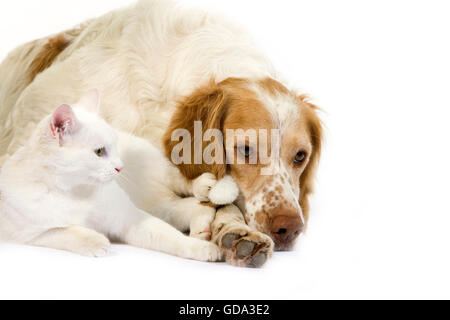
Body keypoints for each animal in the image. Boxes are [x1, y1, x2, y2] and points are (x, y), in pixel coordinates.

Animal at [0, 89, 223, 262]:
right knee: (190, 207)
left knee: (181, 182)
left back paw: (203, 189)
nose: (120, 167)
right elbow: (67, 232)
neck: (76, 192)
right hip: (156, 204)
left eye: (114, 146)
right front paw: (97, 240)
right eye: (99, 151)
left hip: (157, 174)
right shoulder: (31, 234)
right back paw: (202, 227)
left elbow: (172, 237)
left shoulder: (129, 218)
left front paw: (201, 249)